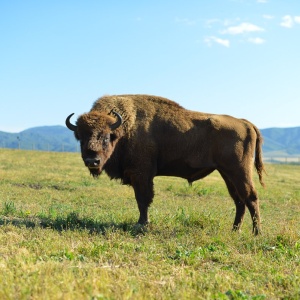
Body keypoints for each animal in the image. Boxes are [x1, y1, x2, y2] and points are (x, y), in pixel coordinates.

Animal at [65, 94, 264, 234]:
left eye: (106, 137)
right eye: (81, 137)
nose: (92, 161)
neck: (123, 128)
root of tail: (245, 123)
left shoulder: (141, 175)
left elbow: (143, 199)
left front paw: (142, 224)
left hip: (239, 171)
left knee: (251, 197)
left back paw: (256, 233)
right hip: (227, 173)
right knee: (239, 200)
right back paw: (235, 230)